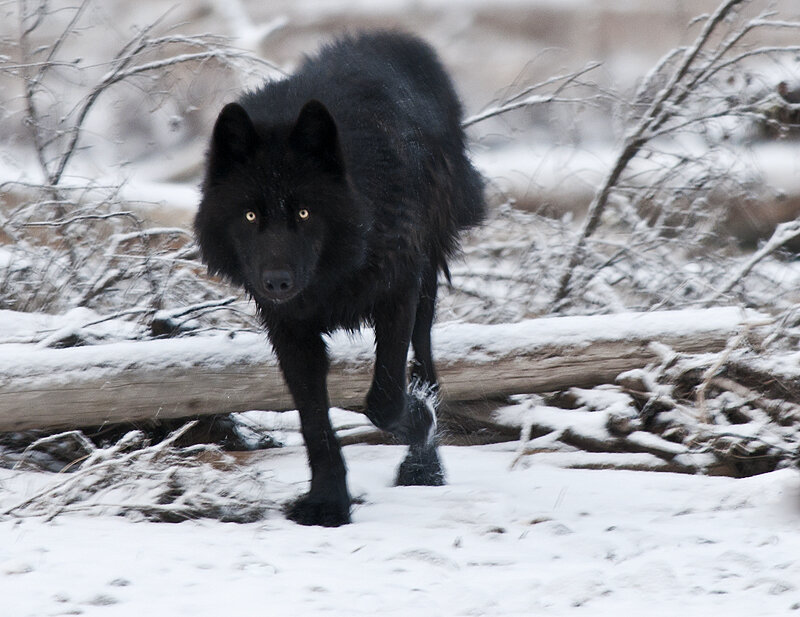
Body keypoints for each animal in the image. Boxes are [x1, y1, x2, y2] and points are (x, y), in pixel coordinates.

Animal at [195, 31, 485, 526]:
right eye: (250, 215)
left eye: (304, 212)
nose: (277, 282)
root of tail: (400, 41)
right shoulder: (289, 329)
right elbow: (314, 421)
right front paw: (328, 503)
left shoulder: (398, 291)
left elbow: (384, 402)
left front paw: (420, 420)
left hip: (426, 283)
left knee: (426, 366)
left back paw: (423, 467)